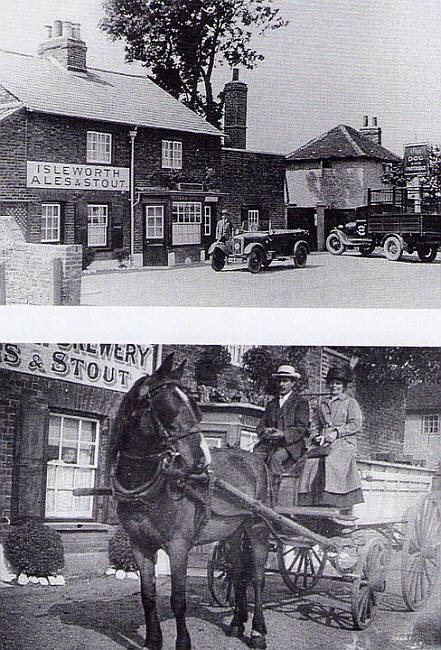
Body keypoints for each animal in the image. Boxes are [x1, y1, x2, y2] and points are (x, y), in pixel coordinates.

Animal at [108, 354, 270, 648]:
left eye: (197, 410)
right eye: (169, 410)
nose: (202, 462)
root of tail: (256, 460)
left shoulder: (178, 546)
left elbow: (178, 600)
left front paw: (183, 642)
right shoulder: (140, 545)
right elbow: (148, 596)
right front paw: (152, 640)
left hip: (258, 527)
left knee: (257, 577)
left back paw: (258, 632)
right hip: (232, 531)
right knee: (237, 573)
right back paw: (237, 622)